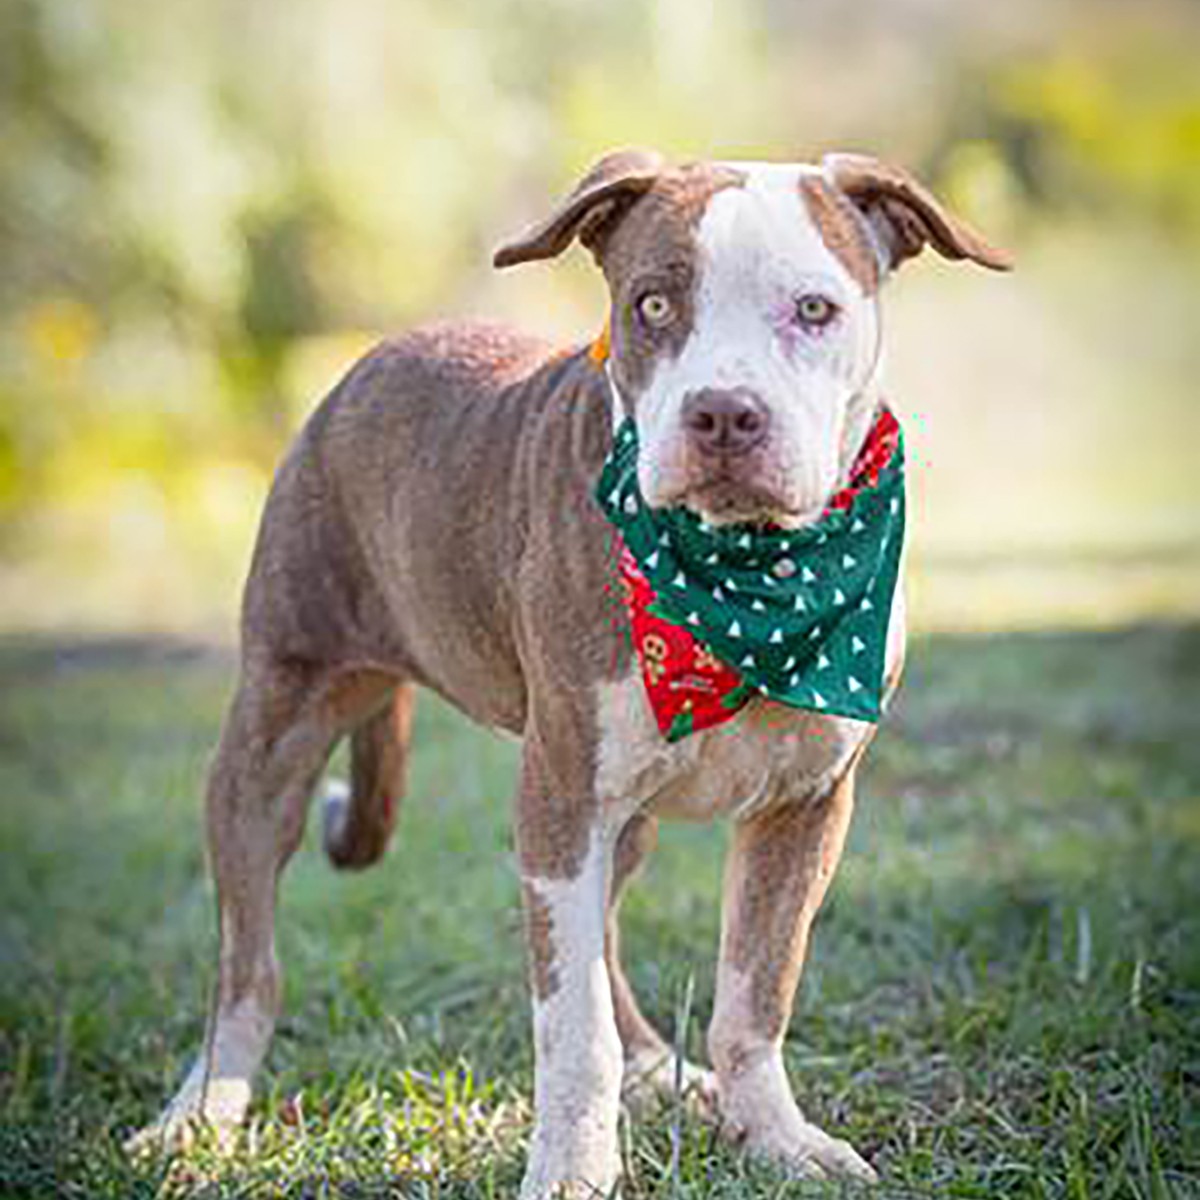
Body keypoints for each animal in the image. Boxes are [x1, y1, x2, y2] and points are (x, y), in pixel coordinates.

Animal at [131, 148, 1010, 1197]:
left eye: (814, 309)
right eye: (653, 305)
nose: (724, 413)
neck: (749, 577)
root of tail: (378, 355)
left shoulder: (805, 806)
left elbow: (756, 996)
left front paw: (775, 1138)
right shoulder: (559, 802)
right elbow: (572, 1024)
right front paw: (572, 1168)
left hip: (618, 816)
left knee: (614, 944)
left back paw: (662, 1072)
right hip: (274, 737)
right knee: (248, 964)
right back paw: (201, 1111)